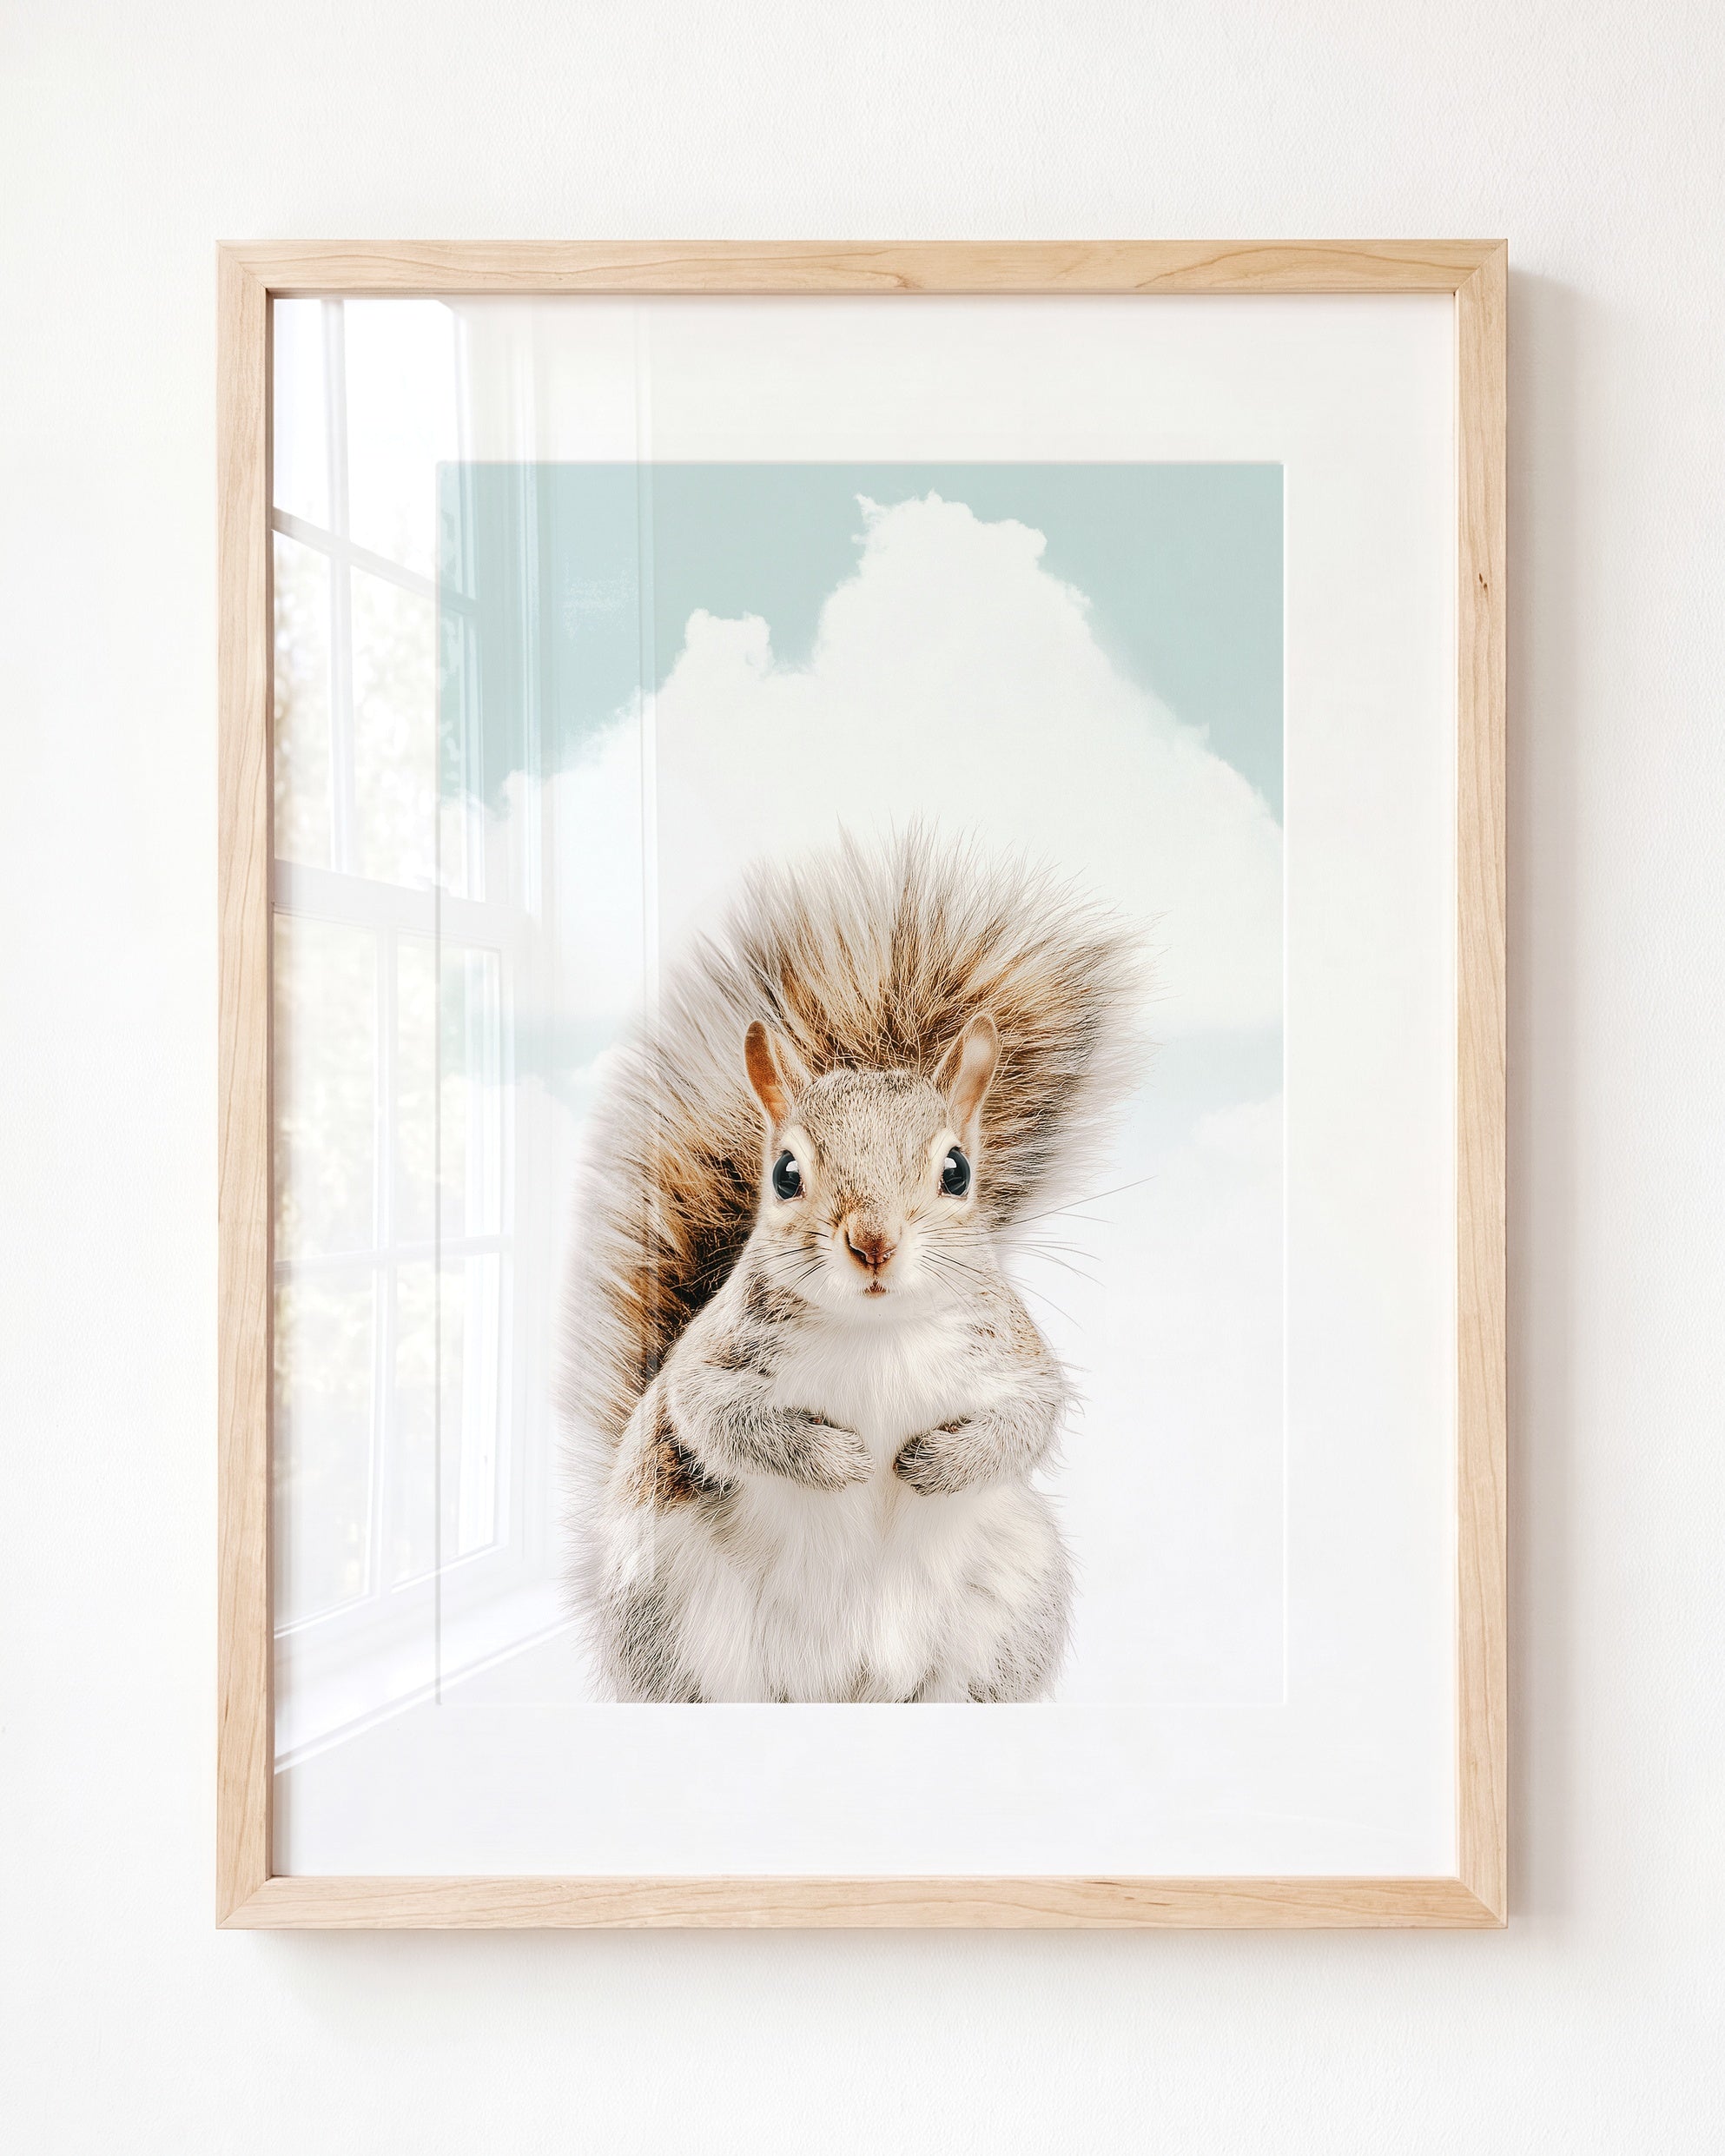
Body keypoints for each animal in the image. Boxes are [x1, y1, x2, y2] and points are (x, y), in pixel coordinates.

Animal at [557, 829, 1140, 1703]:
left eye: (958, 1171)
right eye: (784, 1173)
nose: (873, 1242)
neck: (876, 1331)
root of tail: (848, 1684)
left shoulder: (1013, 1358)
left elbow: (1026, 1422)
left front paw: (934, 1463)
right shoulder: (711, 1362)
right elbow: (716, 1416)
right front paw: (837, 1460)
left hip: (1007, 1608)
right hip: (672, 1610)